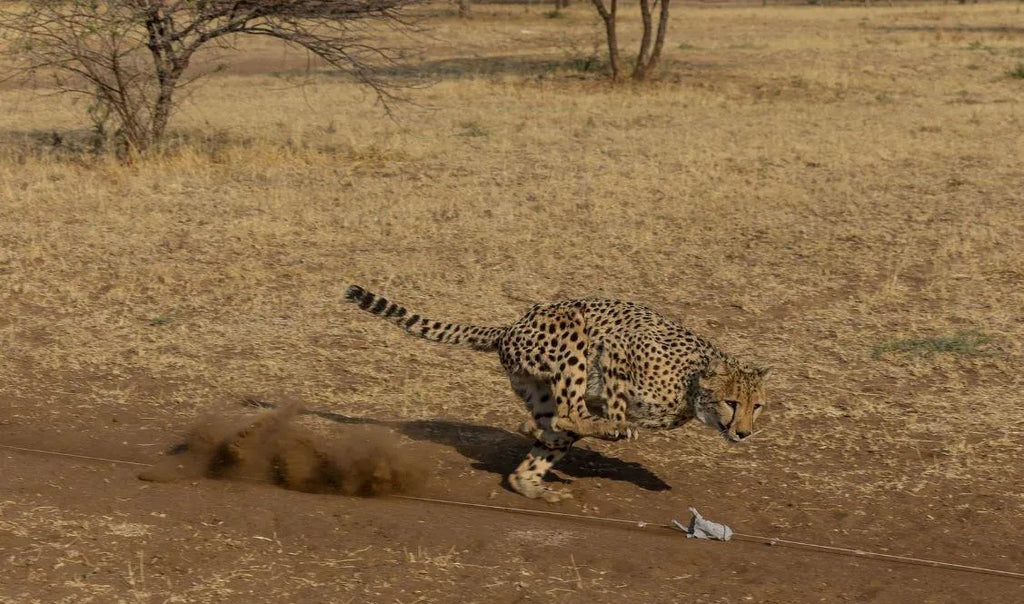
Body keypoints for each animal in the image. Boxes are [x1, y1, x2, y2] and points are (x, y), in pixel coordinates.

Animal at [344, 285, 770, 503]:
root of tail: (509, 327)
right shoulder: (618, 348)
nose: (744, 433)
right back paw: (599, 431)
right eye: (732, 402)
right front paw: (618, 424)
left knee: (553, 430)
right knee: (568, 414)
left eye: (758, 407)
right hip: (572, 329)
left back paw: (531, 479)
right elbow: (616, 400)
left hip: (540, 387)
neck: (692, 387)